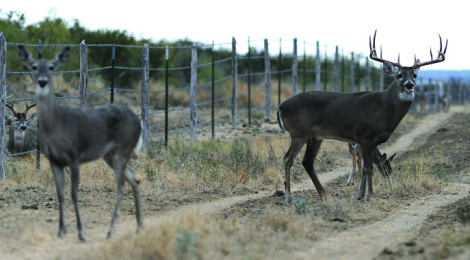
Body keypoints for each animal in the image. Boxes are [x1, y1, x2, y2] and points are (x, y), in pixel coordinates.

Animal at [17, 45, 143, 243]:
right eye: (33, 66)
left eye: (52, 67)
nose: (43, 82)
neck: (55, 125)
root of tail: (139, 122)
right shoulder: (54, 160)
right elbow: (60, 193)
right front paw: (61, 231)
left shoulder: (74, 156)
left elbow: (74, 194)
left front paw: (81, 233)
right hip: (110, 154)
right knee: (135, 179)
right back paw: (139, 226)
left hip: (123, 148)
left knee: (121, 186)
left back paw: (111, 231)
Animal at [278, 29, 446, 202]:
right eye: (399, 75)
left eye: (414, 75)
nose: (409, 85)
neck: (383, 109)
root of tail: (281, 106)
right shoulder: (366, 136)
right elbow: (369, 167)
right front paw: (369, 196)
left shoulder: (371, 141)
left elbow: (364, 168)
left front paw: (359, 195)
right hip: (299, 132)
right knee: (288, 159)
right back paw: (288, 197)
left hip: (315, 137)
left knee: (307, 162)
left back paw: (323, 195)